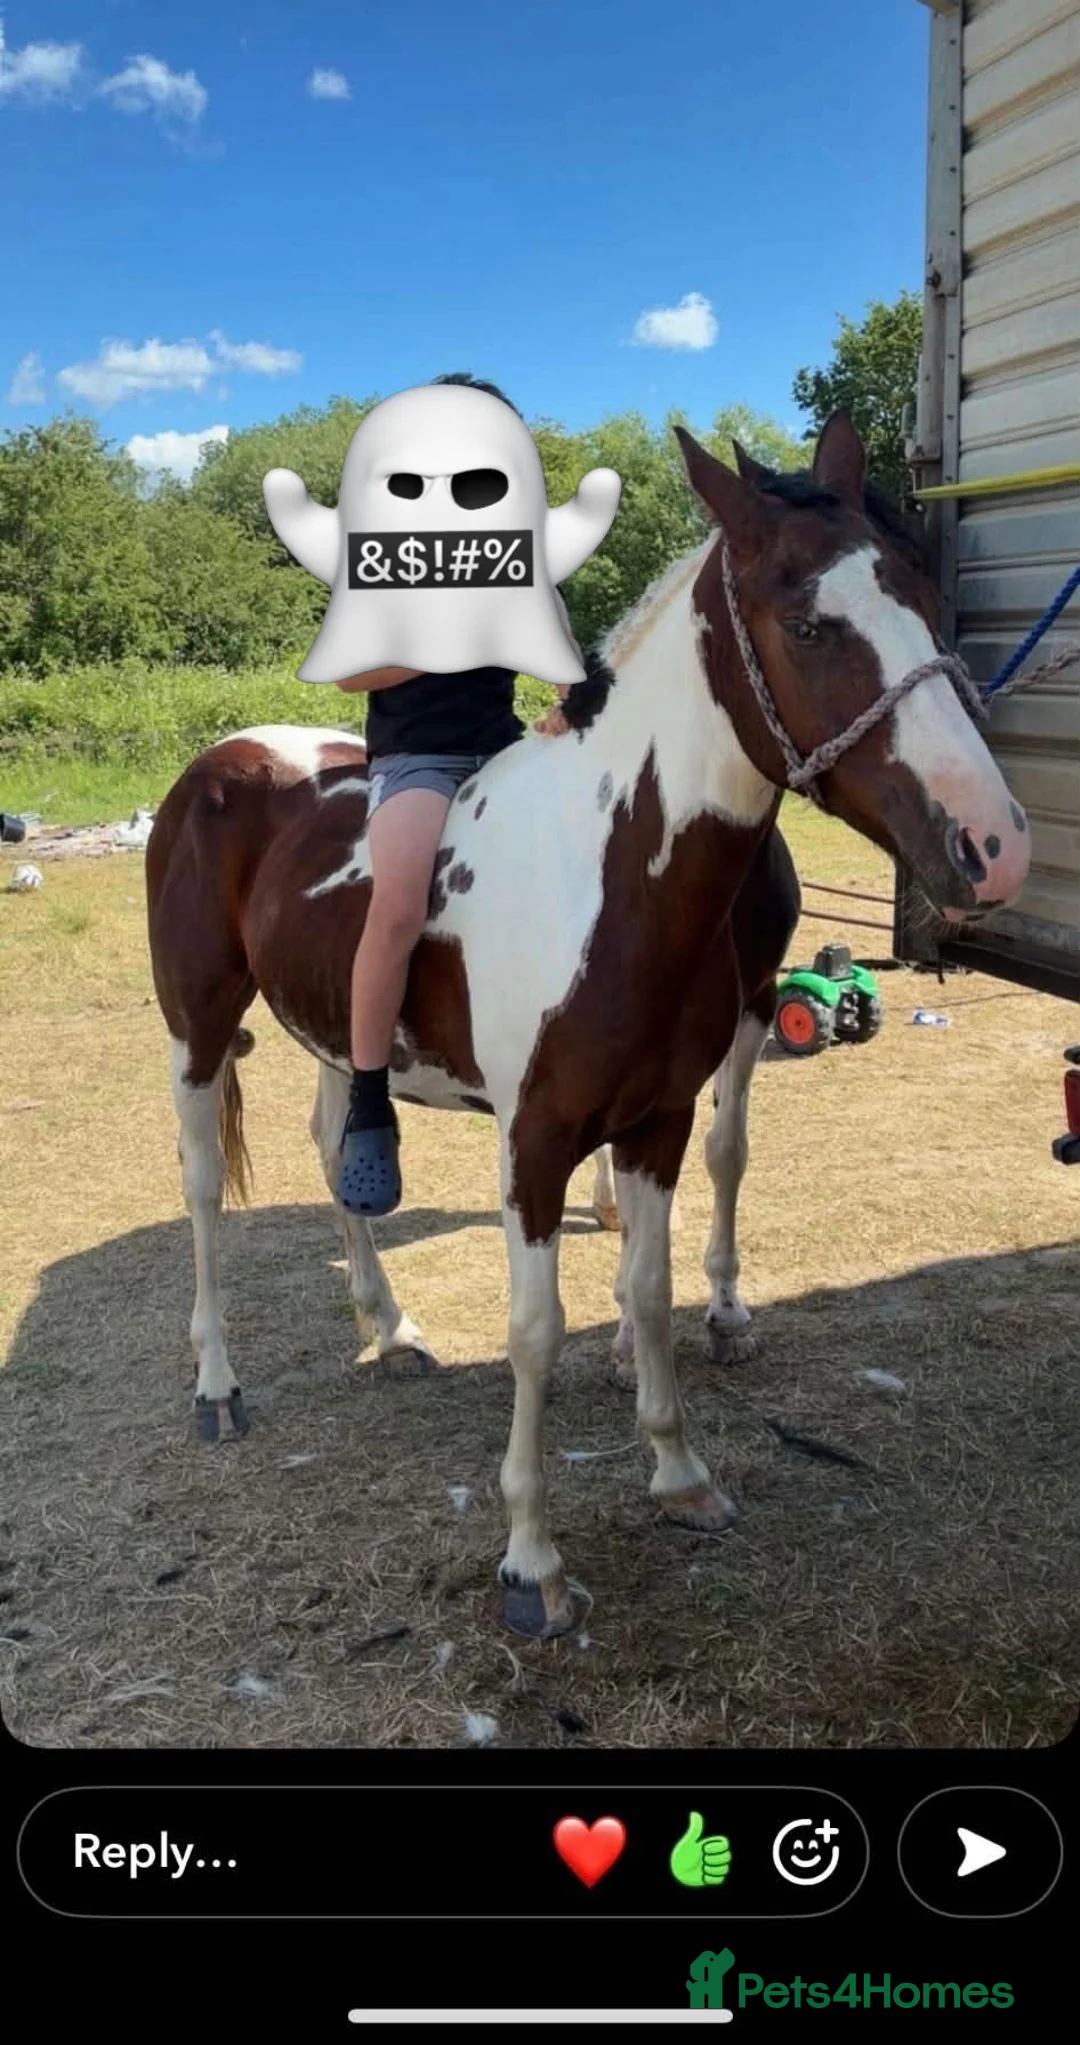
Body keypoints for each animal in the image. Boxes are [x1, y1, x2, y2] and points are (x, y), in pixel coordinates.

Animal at [146, 411, 1030, 1639]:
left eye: (925, 597)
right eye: (809, 623)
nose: (993, 844)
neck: (610, 870)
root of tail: (223, 763)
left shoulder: (657, 1121)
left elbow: (649, 1291)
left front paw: (681, 1473)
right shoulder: (536, 1143)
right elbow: (536, 1331)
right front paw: (531, 1562)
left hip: (333, 1036)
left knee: (338, 1154)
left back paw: (391, 1326)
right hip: (196, 1024)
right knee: (196, 1190)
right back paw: (217, 1384)